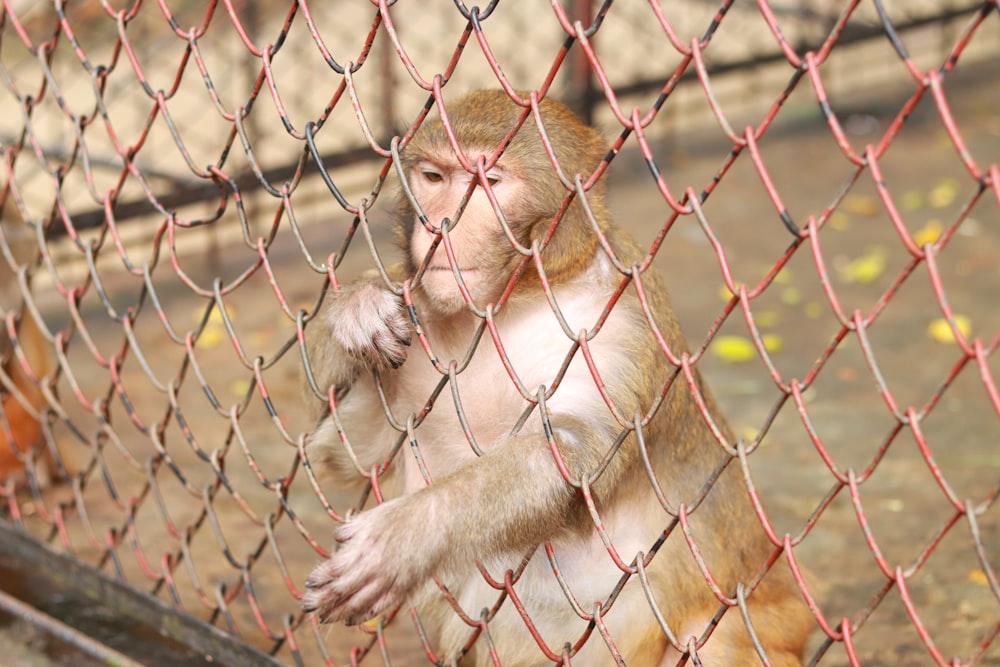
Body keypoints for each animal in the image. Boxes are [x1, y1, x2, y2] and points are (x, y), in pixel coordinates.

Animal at [298, 90, 812, 667]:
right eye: (433, 176)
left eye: (488, 182)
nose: (439, 223)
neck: (509, 300)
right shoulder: (421, 317)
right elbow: (352, 455)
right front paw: (358, 306)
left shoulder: (618, 320)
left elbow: (570, 449)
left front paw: (408, 534)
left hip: (769, 620)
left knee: (713, 640)